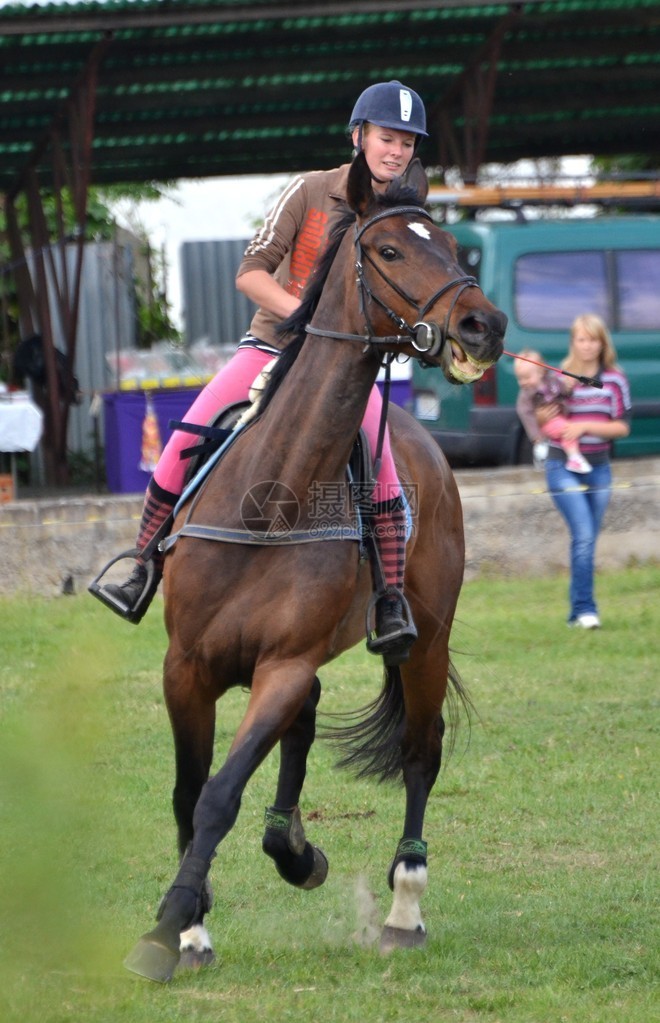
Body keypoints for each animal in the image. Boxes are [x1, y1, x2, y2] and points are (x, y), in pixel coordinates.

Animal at [123, 155, 505, 977]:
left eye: (452, 247)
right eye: (390, 250)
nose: (483, 326)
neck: (274, 496)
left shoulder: (284, 665)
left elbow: (219, 794)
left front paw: (168, 925)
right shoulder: (185, 666)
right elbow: (188, 791)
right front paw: (192, 930)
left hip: (425, 644)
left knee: (419, 754)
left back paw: (402, 907)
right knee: (310, 731)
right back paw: (293, 848)